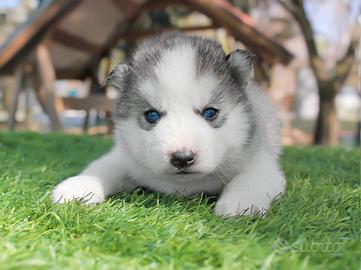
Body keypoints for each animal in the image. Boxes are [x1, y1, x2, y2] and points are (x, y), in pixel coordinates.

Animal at [52, 32, 284, 217]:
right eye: (152, 115)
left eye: (210, 112)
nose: (182, 158)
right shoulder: (125, 157)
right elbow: (102, 167)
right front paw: (77, 186)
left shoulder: (260, 163)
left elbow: (250, 178)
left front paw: (241, 202)